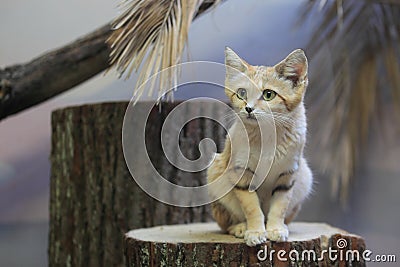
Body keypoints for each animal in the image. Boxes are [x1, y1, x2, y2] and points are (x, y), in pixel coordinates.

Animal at [208, 47, 314, 246]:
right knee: (226, 223)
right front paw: (256, 231)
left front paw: (275, 229)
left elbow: (279, 207)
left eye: (268, 94)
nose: (248, 108)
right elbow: (252, 208)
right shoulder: (241, 172)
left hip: (305, 176)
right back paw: (240, 227)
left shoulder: (288, 175)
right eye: (242, 93)